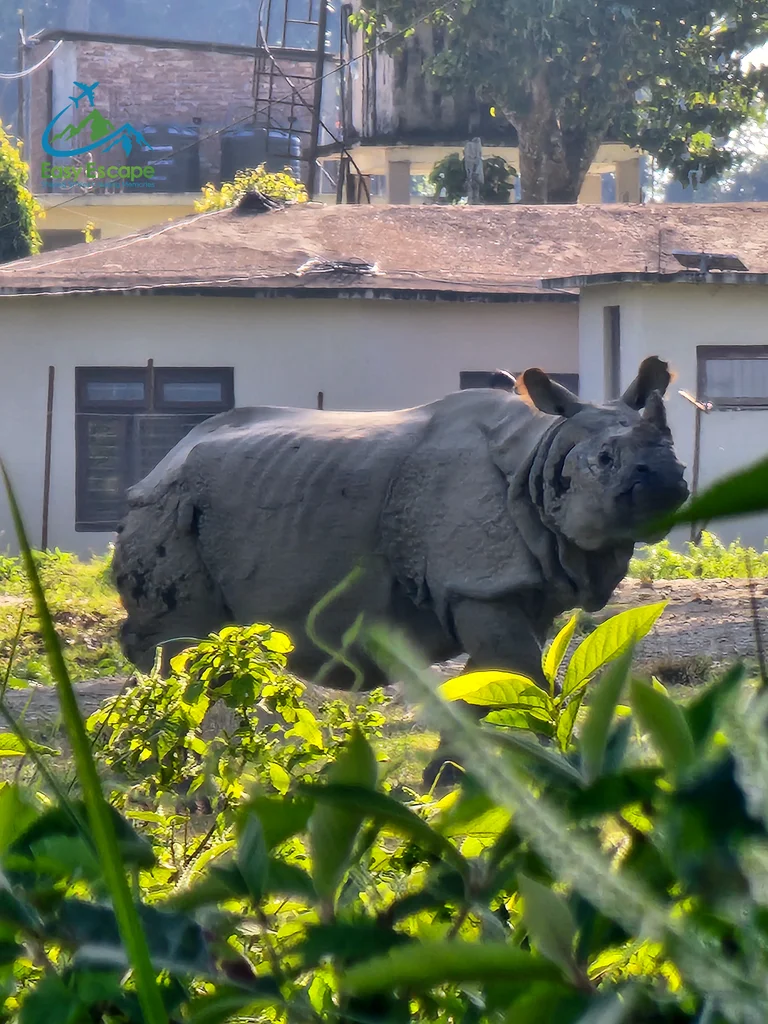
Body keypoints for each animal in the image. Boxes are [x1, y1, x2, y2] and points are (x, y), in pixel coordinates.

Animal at [114, 357, 687, 774]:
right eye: (605, 460)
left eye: (673, 448)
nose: (666, 481)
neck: (542, 452)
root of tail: (165, 459)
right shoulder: (478, 582)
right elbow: (512, 671)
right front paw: (456, 782)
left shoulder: (525, 588)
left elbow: (498, 682)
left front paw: (461, 779)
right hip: (168, 503)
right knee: (181, 645)